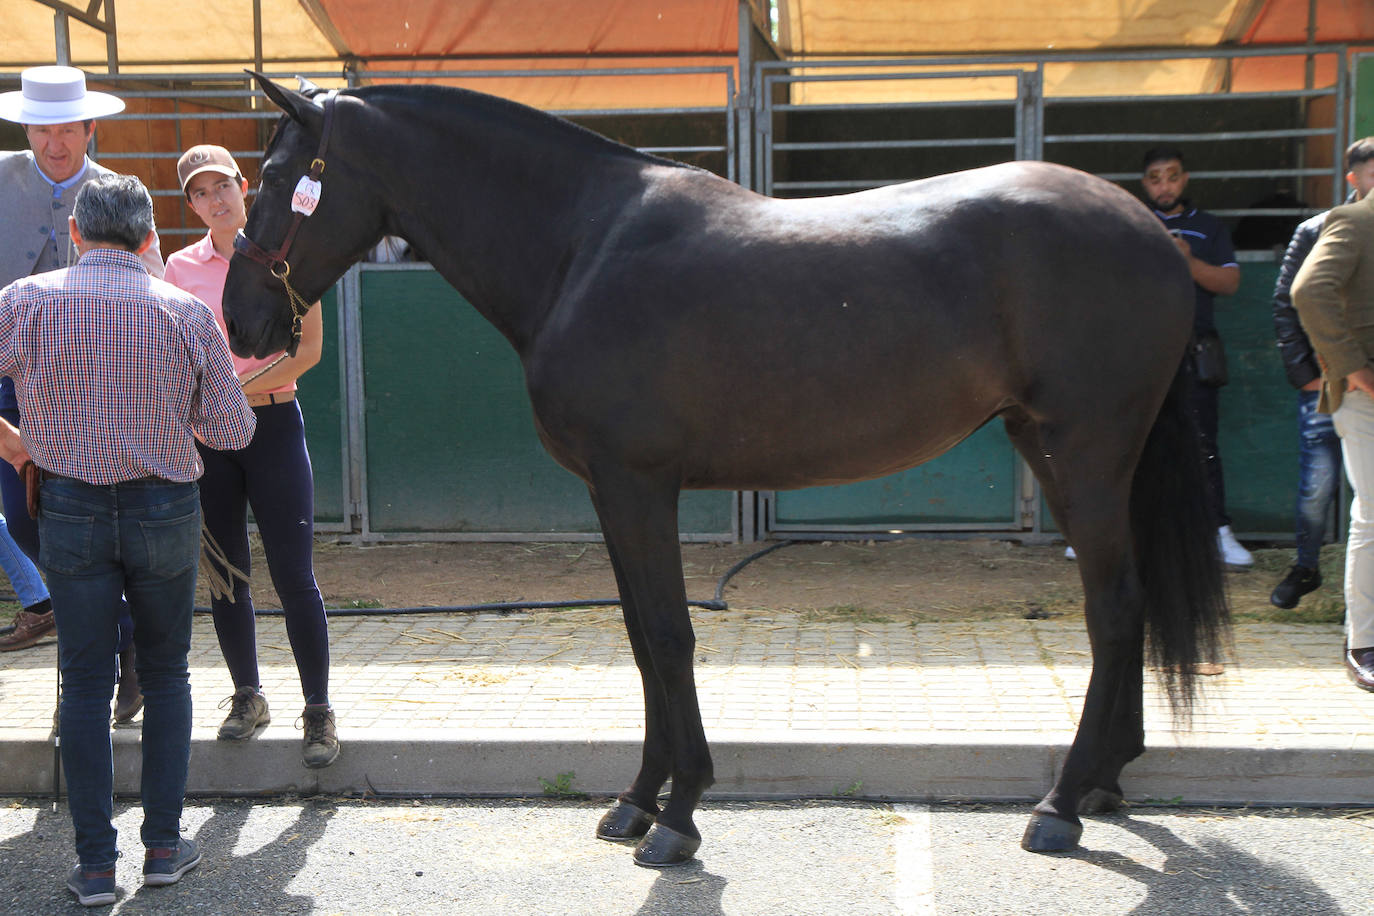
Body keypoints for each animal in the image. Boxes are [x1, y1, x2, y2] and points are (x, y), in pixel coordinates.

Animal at [222, 73, 1225, 867]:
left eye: (272, 179)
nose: (238, 321)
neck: (582, 247)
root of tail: (1150, 228)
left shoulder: (640, 485)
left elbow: (670, 637)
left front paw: (679, 817)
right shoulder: (610, 493)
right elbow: (638, 637)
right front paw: (635, 802)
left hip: (1085, 451)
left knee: (1113, 606)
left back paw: (1059, 807)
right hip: (1052, 446)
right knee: (1129, 601)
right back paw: (1103, 783)